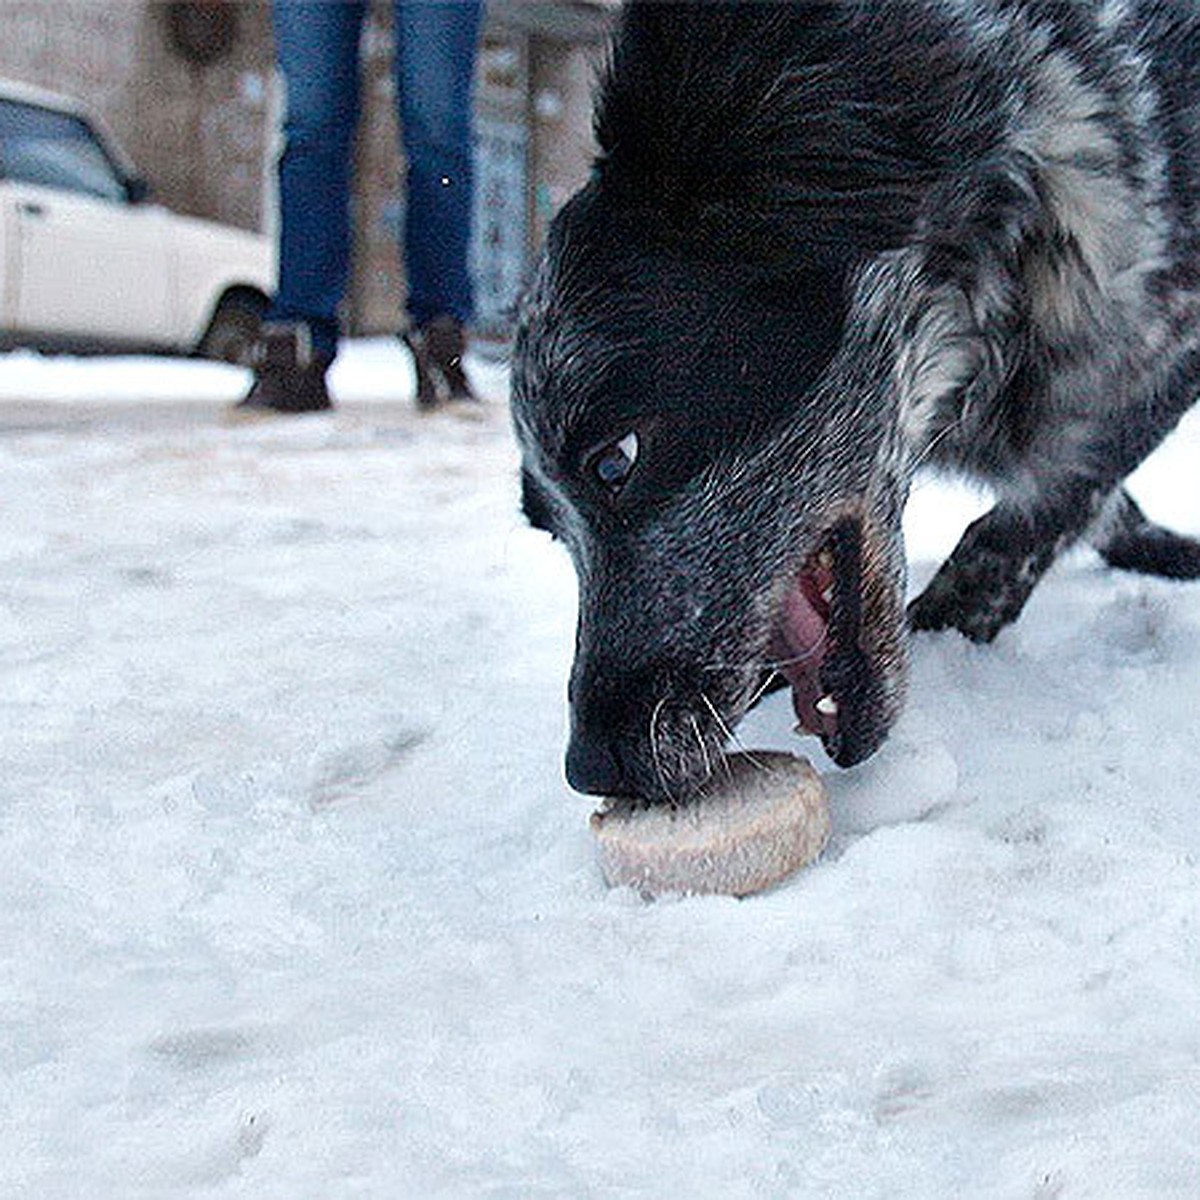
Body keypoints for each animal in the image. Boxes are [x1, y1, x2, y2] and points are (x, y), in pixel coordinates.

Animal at [511, 2, 1200, 806]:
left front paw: (947, 631)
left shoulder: (1156, 353)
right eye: (551, 528)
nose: (592, 768)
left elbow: (1042, 508)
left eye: (614, 460)